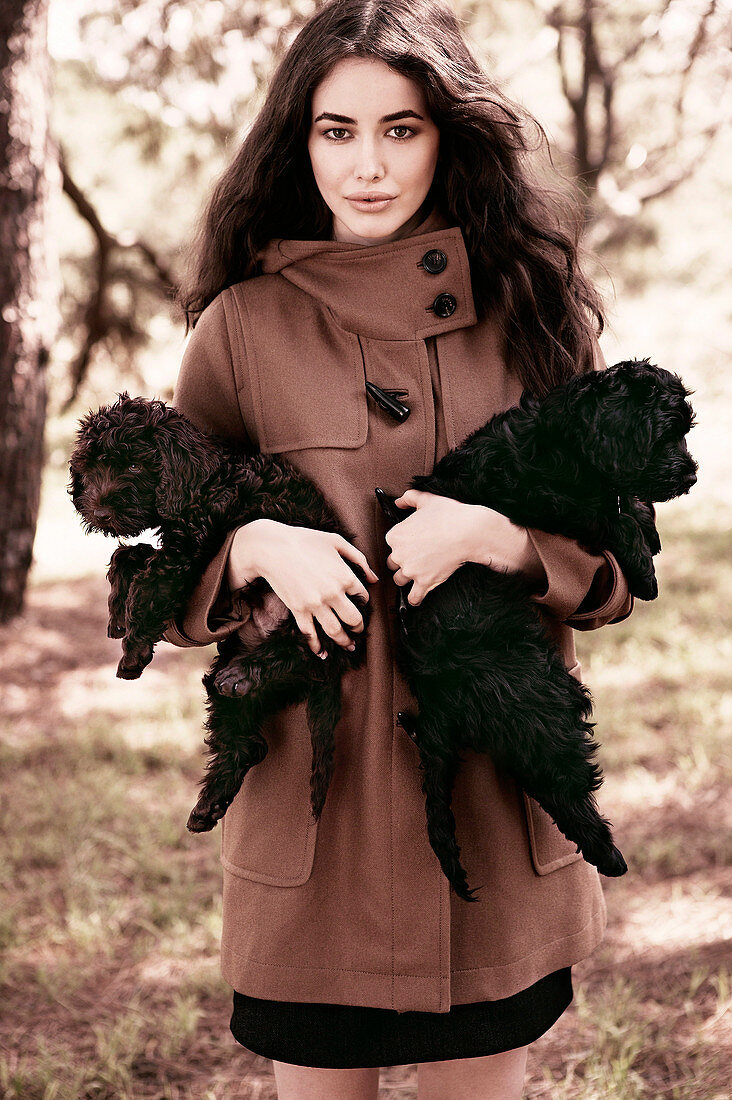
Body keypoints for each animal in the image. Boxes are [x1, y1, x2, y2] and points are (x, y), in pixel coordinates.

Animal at [68, 396, 372, 831]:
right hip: (231, 674)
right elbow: (127, 555)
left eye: (134, 466)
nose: (99, 511)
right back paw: (206, 808)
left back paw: (244, 673)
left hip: (320, 611)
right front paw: (116, 615)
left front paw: (133, 651)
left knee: (300, 649)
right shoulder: (180, 545)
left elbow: (149, 586)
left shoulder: (187, 552)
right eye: (91, 467)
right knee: (247, 743)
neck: (206, 479)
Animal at [374, 356, 700, 897]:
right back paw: (608, 854)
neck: (564, 437)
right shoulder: (550, 496)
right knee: (560, 784)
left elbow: (622, 501)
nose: (692, 476)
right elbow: (606, 513)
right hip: (539, 703)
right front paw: (644, 566)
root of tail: (439, 700)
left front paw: (647, 529)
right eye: (664, 435)